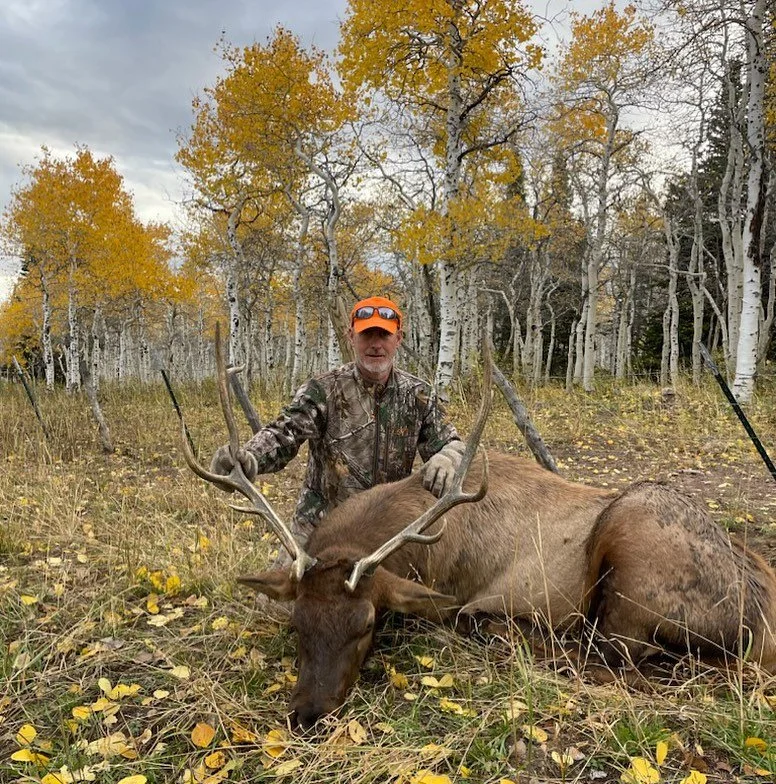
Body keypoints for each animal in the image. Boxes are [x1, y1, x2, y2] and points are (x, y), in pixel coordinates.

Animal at [182, 329, 776, 730]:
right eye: (297, 621)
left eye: (369, 622)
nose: (307, 713)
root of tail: (762, 617)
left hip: (633, 531)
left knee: (618, 652)